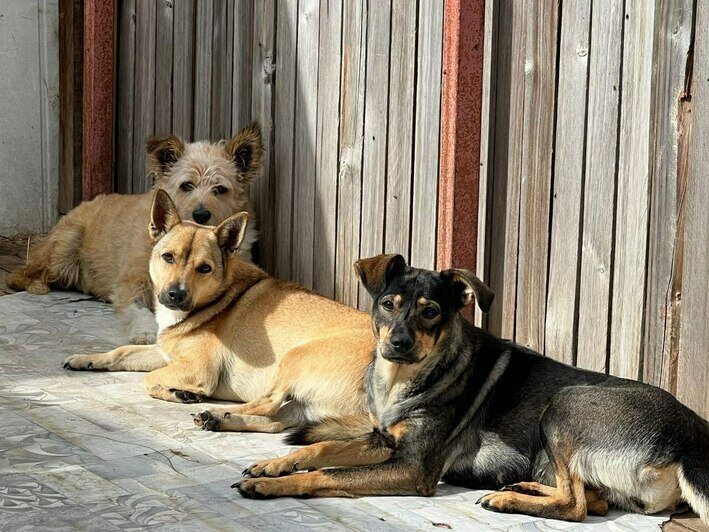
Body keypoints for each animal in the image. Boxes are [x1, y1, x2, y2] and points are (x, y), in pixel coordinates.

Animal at [9, 122, 262, 342]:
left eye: (220, 189)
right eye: (187, 185)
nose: (201, 214)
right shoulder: (131, 286)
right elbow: (137, 311)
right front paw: (145, 332)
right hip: (64, 249)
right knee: (21, 273)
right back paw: (36, 284)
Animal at [239, 256, 708, 524]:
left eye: (430, 312)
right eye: (388, 305)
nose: (398, 344)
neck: (402, 380)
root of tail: (690, 439)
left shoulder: (413, 468)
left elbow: (329, 473)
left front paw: (272, 486)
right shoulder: (384, 441)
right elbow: (321, 449)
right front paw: (272, 466)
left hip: (564, 404)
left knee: (575, 506)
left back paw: (509, 500)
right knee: (593, 501)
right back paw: (522, 489)